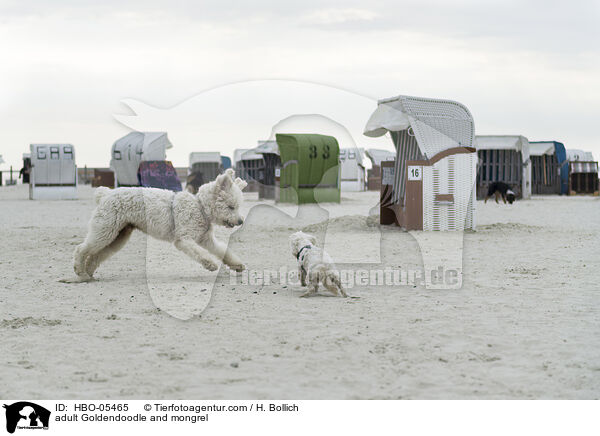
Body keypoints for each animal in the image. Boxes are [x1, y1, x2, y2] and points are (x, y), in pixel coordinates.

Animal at [71, 169, 248, 282]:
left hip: (117, 237)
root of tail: (105, 194)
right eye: (231, 206)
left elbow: (222, 250)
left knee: (96, 256)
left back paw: (87, 275)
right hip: (104, 231)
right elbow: (199, 253)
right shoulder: (184, 240)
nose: (241, 221)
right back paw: (80, 272)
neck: (199, 207)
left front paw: (237, 265)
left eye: (238, 206)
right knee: (81, 249)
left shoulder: (207, 240)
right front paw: (210, 264)